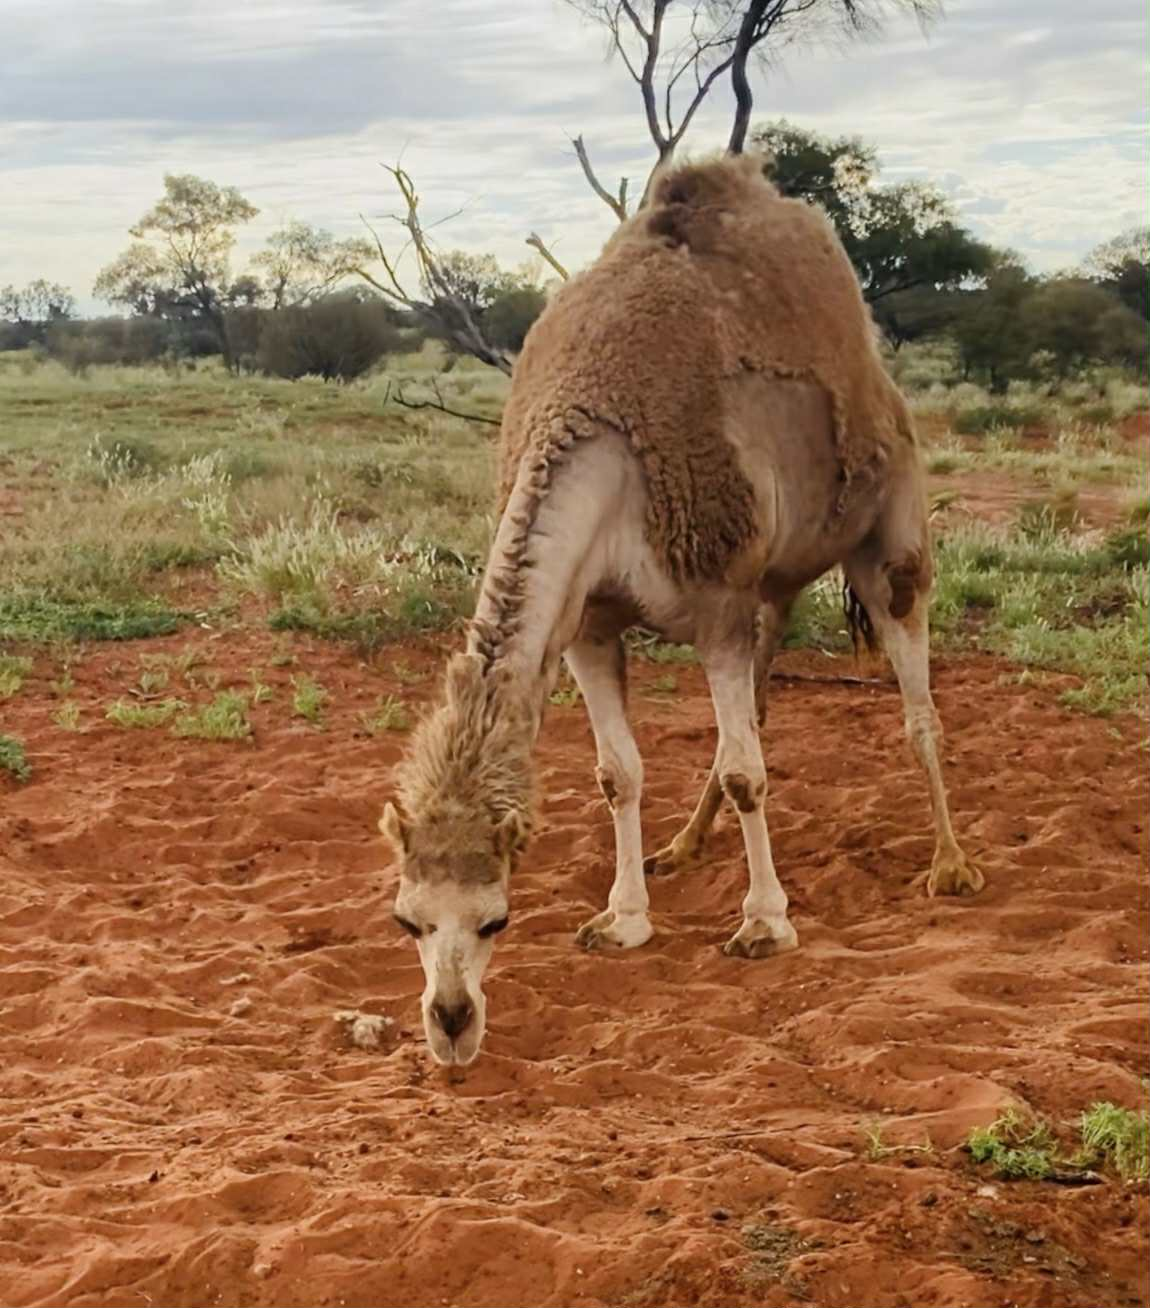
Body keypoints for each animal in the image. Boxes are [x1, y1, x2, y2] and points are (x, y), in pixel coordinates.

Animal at [380, 153, 983, 1067]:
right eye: (407, 921)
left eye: (497, 919)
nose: (450, 1024)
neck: (602, 434)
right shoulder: (591, 622)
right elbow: (618, 772)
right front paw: (622, 918)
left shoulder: (715, 598)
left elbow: (745, 773)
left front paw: (765, 925)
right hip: (776, 581)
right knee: (766, 688)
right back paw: (685, 844)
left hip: (892, 528)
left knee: (915, 694)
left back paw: (950, 866)